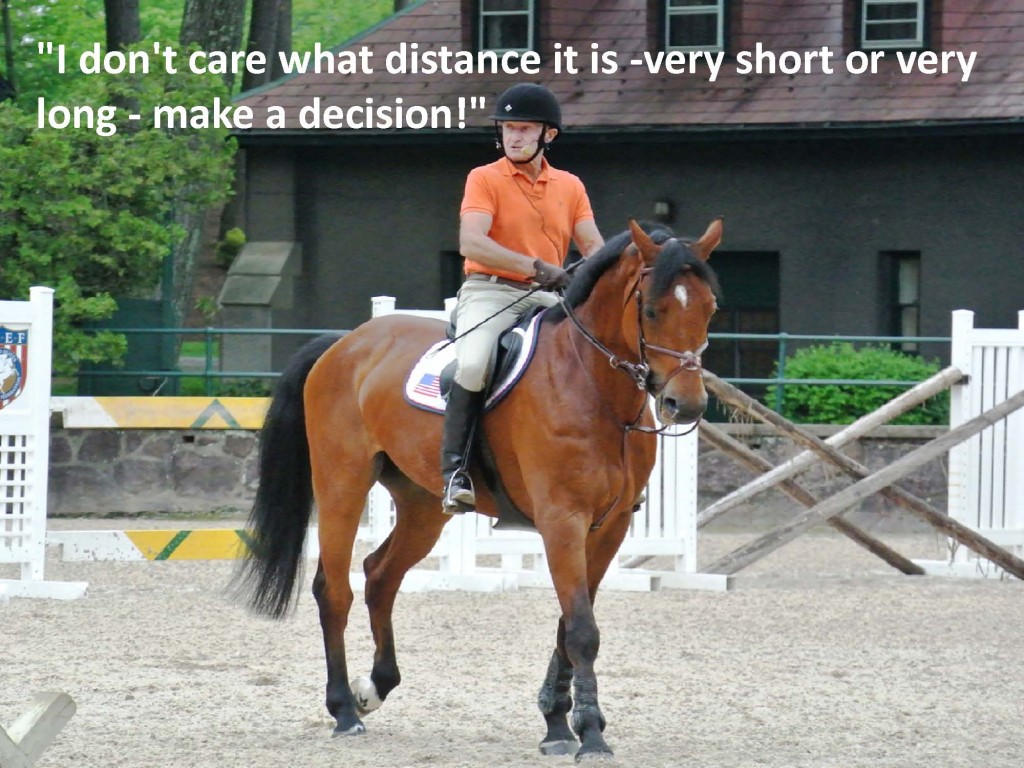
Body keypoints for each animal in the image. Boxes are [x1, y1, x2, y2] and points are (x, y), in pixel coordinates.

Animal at [235, 218, 722, 761]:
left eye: (709, 309)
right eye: (652, 309)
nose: (686, 405)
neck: (592, 385)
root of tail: (346, 343)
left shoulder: (609, 527)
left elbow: (567, 624)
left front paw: (556, 723)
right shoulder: (562, 521)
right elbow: (581, 630)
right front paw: (590, 734)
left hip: (423, 506)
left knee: (380, 575)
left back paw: (374, 688)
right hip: (343, 483)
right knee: (334, 589)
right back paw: (343, 709)